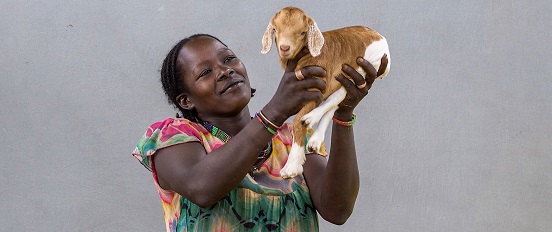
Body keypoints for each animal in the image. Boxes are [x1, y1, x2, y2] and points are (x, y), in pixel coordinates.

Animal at [260, 6, 390, 179]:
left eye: (303, 32)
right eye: (275, 29)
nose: (285, 48)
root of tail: (378, 35)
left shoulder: (316, 87)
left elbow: (297, 121)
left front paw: (292, 166)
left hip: (367, 64)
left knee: (339, 95)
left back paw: (310, 119)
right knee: (336, 102)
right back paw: (315, 140)